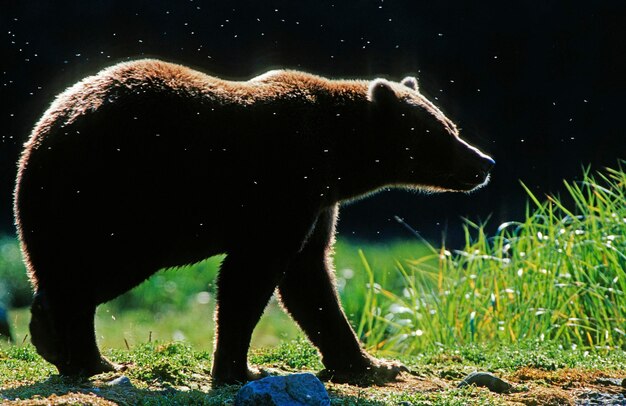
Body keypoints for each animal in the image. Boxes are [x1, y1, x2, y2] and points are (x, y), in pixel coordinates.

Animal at [13, 58, 492, 386]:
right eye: (442, 132)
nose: (483, 161)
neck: (338, 156)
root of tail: (39, 137)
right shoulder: (284, 186)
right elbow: (251, 275)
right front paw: (243, 368)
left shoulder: (317, 203)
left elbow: (309, 278)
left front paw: (374, 363)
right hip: (116, 199)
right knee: (88, 276)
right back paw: (79, 352)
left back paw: (68, 349)